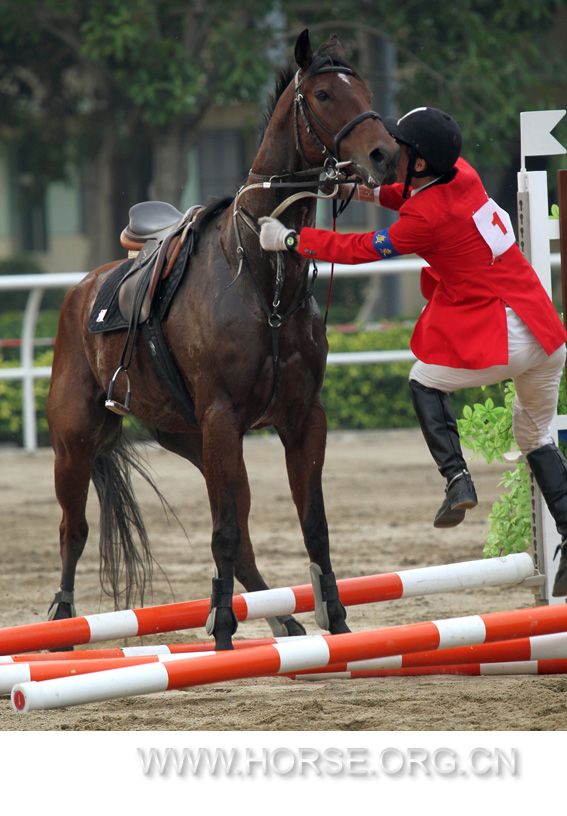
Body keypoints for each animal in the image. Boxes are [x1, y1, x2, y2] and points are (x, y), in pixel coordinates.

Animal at [46, 29, 398, 650]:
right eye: (325, 94)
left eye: (366, 90)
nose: (384, 154)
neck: (262, 274)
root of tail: (83, 292)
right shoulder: (221, 418)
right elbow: (224, 532)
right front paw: (224, 631)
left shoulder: (301, 418)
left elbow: (313, 525)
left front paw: (337, 620)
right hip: (77, 442)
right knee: (74, 529)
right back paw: (64, 623)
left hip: (191, 438)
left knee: (244, 530)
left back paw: (282, 618)